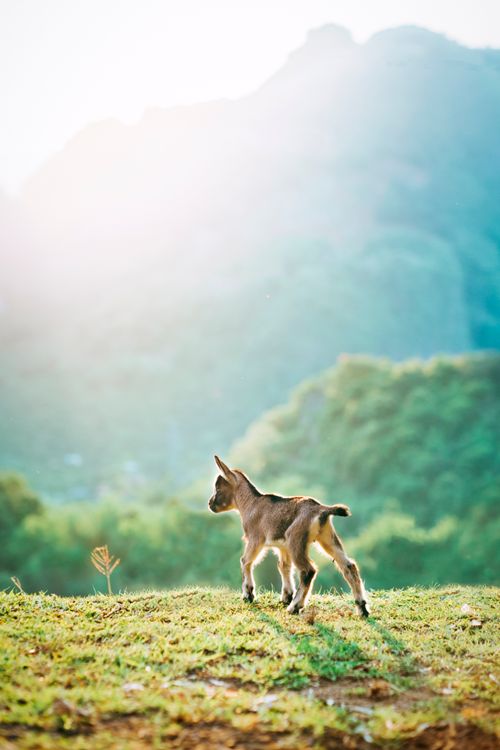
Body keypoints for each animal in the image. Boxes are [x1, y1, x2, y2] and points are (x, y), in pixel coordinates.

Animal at [208, 456, 370, 616]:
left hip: (296, 539)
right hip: (327, 537)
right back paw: (362, 608)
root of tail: (322, 510)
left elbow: (245, 560)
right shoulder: (282, 546)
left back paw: (295, 606)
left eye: (218, 488)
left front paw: (248, 595)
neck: (251, 504)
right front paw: (286, 597)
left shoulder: (256, 538)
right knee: (349, 566)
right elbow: (283, 566)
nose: (210, 504)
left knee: (308, 570)